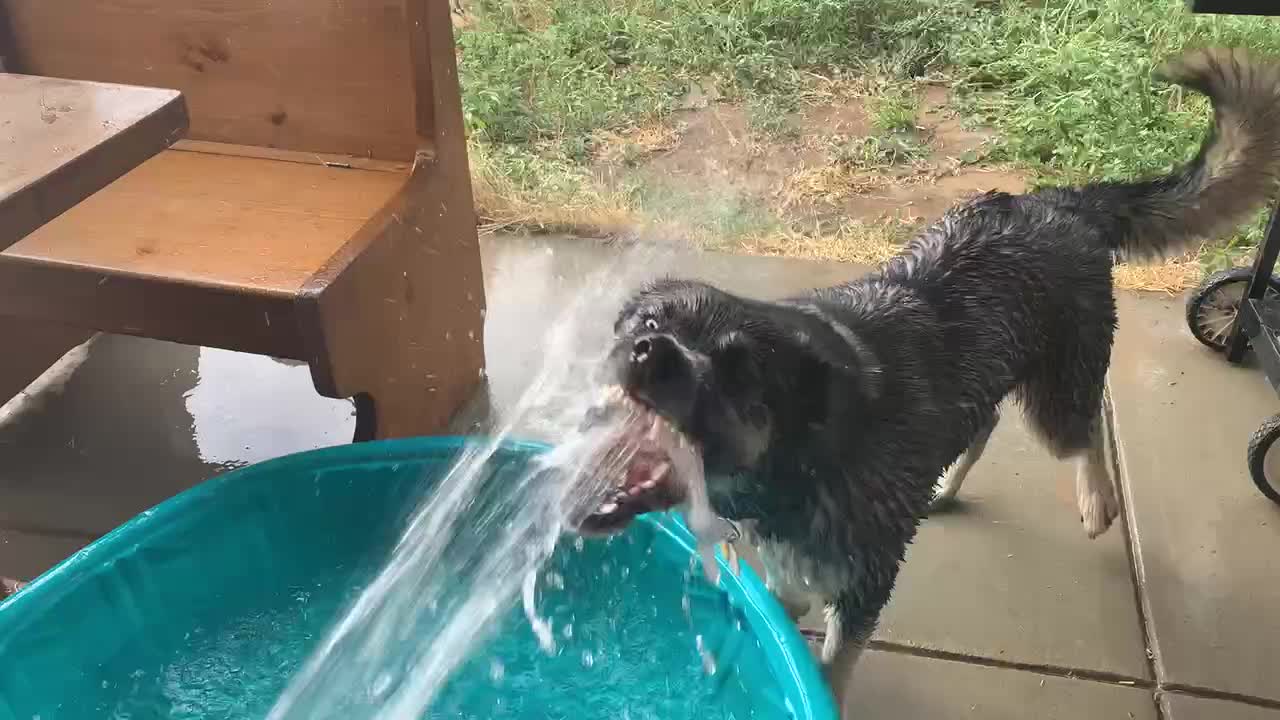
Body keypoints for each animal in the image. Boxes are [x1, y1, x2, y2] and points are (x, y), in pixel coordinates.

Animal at [576, 47, 1280, 707]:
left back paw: (1098, 498)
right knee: (987, 420)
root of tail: (1056, 202)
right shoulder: (790, 566)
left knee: (1082, 429)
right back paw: (944, 486)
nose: (647, 351)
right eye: (648, 319)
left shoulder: (864, 584)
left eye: (737, 366)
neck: (801, 455)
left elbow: (830, 668)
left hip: (1055, 395)